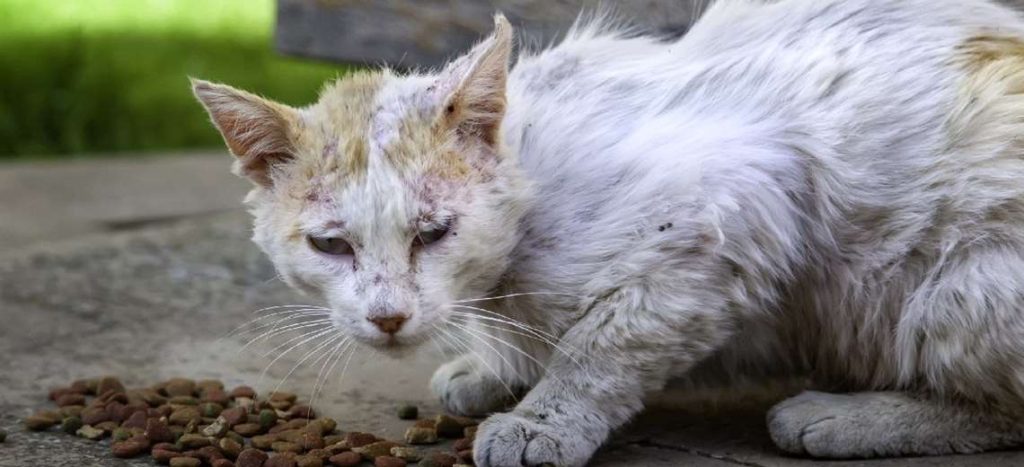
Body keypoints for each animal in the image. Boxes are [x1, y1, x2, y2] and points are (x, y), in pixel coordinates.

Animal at [193, 1, 1024, 464]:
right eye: (330, 245)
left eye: (433, 231)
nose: (389, 316)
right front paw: (492, 368)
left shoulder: (733, 214)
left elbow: (599, 347)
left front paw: (544, 418)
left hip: (964, 286)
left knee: (1002, 407)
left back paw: (844, 415)